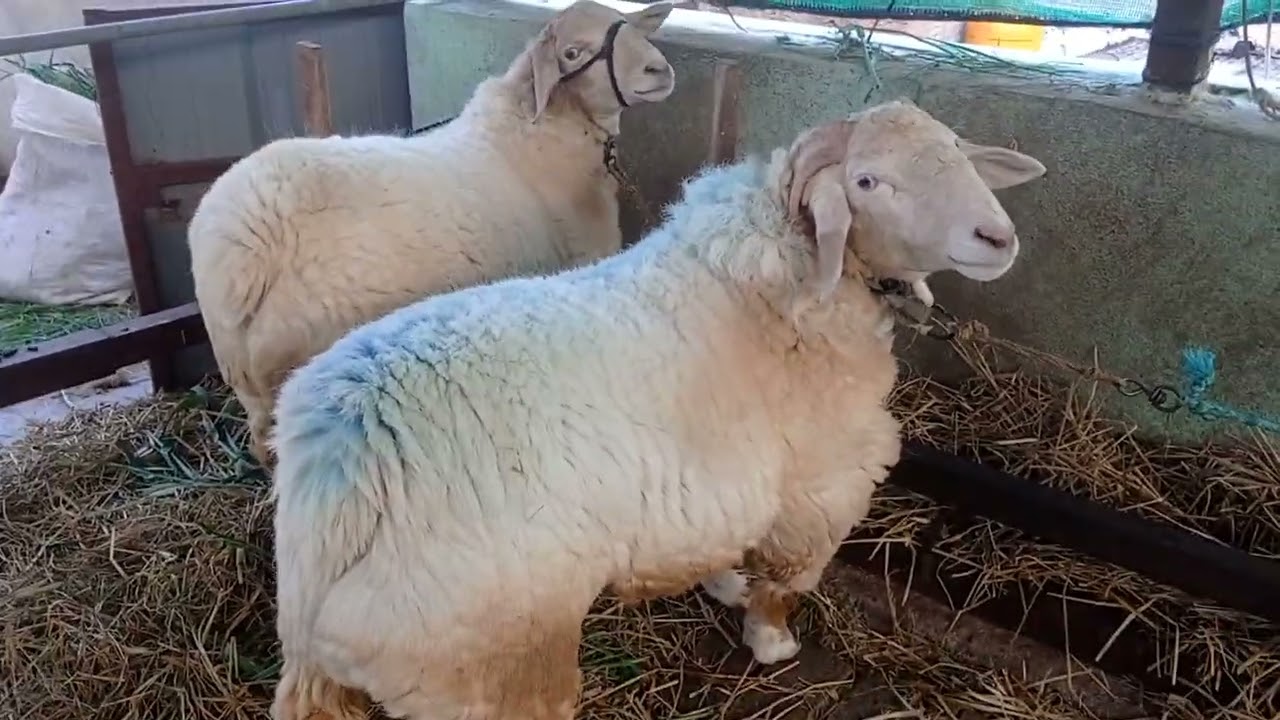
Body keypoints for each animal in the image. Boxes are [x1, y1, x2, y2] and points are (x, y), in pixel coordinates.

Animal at [186, 0, 680, 467]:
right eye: (572, 53)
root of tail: (243, 245)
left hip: (249, 385)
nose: (659, 70)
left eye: (627, 24)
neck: (541, 132)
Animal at [267, 99, 1046, 720]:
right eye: (867, 182)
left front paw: (725, 585)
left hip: (324, 657)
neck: (777, 293)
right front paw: (771, 641)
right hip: (490, 662)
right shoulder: (816, 495)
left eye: (957, 151)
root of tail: (349, 459)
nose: (999, 238)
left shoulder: (726, 494)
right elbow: (784, 583)